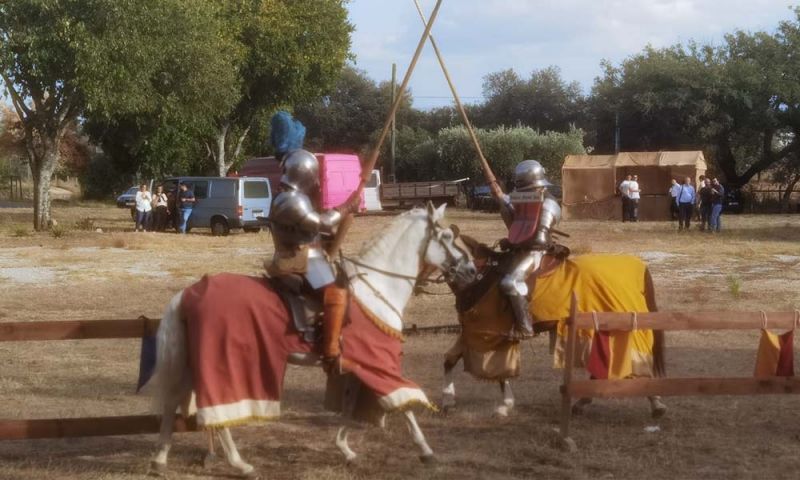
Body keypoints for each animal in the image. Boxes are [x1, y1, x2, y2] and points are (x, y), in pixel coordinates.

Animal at [147, 204, 476, 478]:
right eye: (447, 236)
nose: (471, 270)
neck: (377, 286)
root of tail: (191, 291)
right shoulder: (378, 362)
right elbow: (403, 403)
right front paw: (426, 452)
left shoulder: (355, 365)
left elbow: (350, 407)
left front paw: (346, 450)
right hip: (225, 364)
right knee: (216, 409)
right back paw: (240, 464)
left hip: (192, 361)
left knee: (174, 400)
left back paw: (160, 460)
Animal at [440, 236, 664, 416]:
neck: (479, 275)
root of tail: (637, 266)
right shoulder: (472, 331)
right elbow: (450, 359)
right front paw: (448, 400)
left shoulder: (490, 334)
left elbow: (500, 371)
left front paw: (505, 406)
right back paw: (583, 402)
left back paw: (656, 404)